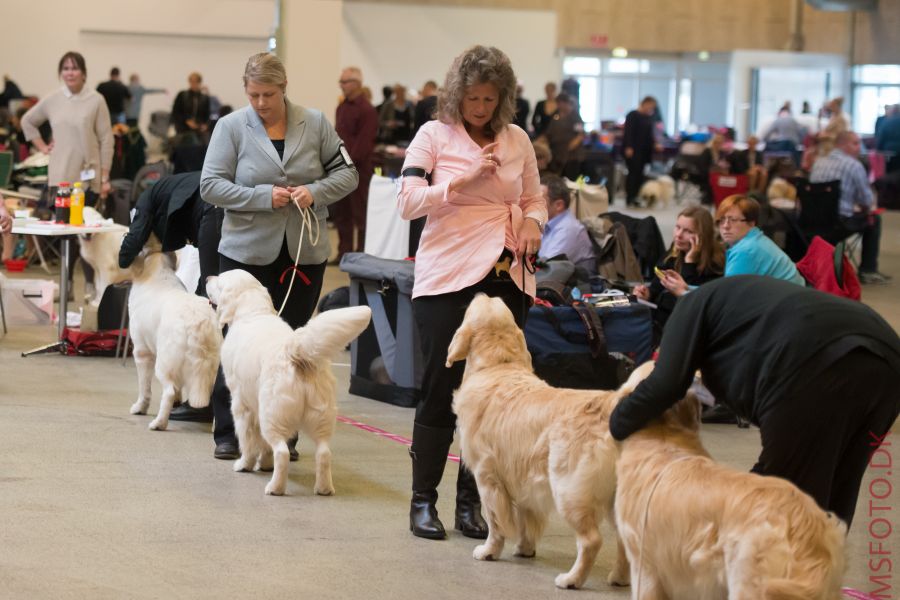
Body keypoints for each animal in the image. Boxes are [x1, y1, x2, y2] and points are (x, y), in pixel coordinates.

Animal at [125, 250, 221, 432]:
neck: (156, 273)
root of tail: (200, 322)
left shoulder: (142, 352)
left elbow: (144, 388)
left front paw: (139, 408)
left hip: (163, 362)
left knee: (168, 391)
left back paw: (159, 423)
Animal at [206, 272, 370, 496]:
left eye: (220, 279)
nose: (207, 278)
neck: (253, 313)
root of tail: (296, 353)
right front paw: (265, 464)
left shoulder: (242, 405)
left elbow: (248, 440)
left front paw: (245, 465)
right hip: (321, 417)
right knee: (324, 453)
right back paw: (324, 488)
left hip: (272, 415)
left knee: (282, 452)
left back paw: (275, 487)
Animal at [444, 296, 648, 592]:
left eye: (475, 307)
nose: (484, 293)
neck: (499, 366)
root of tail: (610, 405)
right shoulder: (524, 478)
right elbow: (526, 518)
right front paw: (525, 548)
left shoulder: (487, 476)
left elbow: (496, 521)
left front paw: (489, 551)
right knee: (623, 540)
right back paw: (619, 578)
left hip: (569, 490)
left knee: (591, 541)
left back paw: (571, 579)